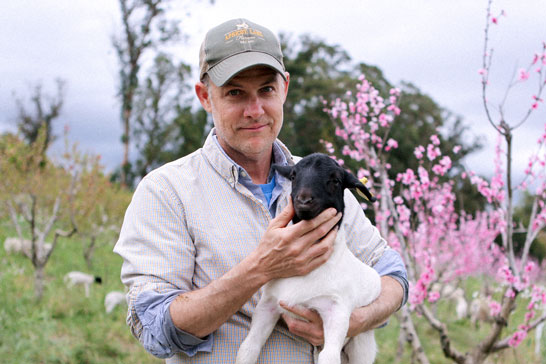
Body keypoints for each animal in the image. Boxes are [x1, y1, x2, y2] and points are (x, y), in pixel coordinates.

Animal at [236, 153, 380, 364]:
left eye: (336, 180)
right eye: (293, 176)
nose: (304, 200)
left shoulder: (337, 310)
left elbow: (329, 357)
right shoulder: (268, 305)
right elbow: (248, 347)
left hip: (362, 342)